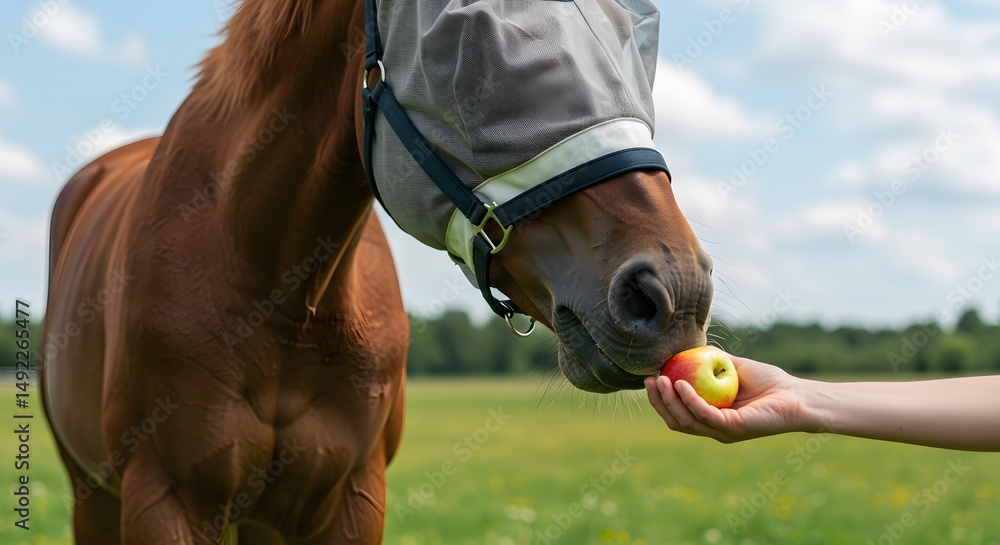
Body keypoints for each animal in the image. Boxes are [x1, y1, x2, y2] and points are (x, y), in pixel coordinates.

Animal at [40, 0, 713, 542]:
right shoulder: (167, 502)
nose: (673, 291)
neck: (281, 302)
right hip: (92, 495)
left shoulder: (351, 502)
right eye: (464, 41)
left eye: (640, 30)